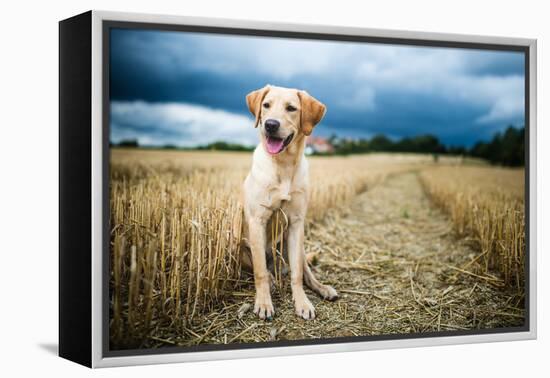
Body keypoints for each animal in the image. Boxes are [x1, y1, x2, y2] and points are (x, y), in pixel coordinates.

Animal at [243, 84, 340, 320]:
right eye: (266, 105)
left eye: (291, 108)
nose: (270, 124)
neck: (283, 164)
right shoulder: (257, 222)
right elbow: (260, 272)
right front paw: (264, 303)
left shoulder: (296, 223)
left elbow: (297, 275)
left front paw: (302, 303)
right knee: (265, 271)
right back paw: (272, 281)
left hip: (297, 246)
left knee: (305, 271)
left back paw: (323, 288)